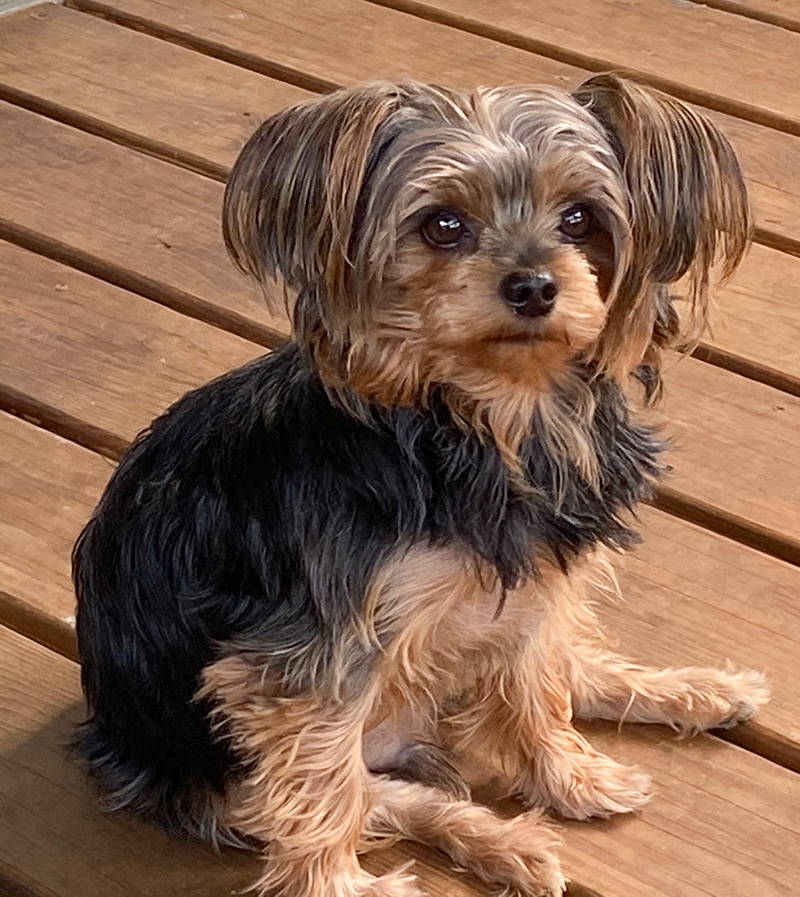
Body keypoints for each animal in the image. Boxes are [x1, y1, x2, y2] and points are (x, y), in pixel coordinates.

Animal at [73, 77, 768, 896]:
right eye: (443, 226)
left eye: (579, 218)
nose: (533, 285)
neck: (489, 418)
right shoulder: (305, 663)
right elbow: (324, 788)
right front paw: (334, 885)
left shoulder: (533, 582)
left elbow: (537, 689)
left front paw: (569, 777)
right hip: (217, 774)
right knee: (364, 793)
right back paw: (500, 840)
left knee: (561, 668)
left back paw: (694, 690)